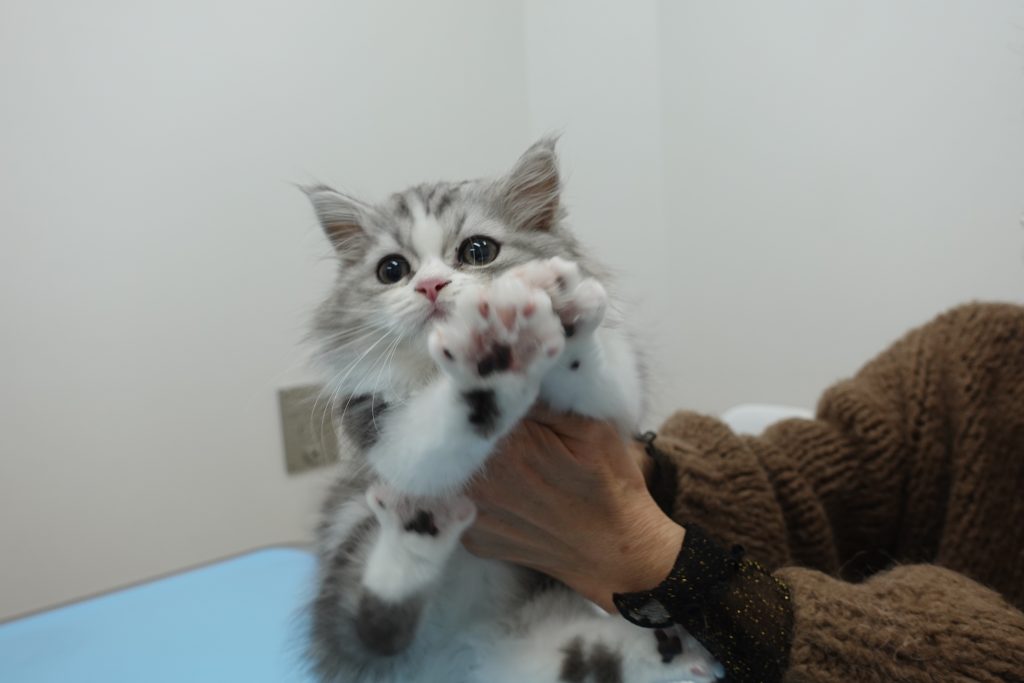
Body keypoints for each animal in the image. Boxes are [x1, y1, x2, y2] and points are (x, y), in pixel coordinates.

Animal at [302, 138, 722, 683]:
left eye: (478, 251)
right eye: (391, 270)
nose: (431, 286)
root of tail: (463, 655)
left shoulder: (616, 403)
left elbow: (600, 379)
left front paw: (561, 310)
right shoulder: (380, 430)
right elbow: (438, 438)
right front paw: (490, 356)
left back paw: (670, 651)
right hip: (352, 538)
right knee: (372, 629)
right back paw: (420, 525)